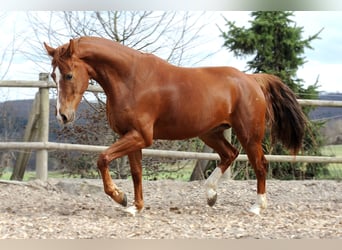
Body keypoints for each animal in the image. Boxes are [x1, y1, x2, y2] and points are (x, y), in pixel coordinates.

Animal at [43, 36, 308, 216]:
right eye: (53, 76)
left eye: (68, 75)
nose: (63, 116)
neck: (130, 79)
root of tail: (251, 80)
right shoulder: (132, 136)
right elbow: (136, 172)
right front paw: (136, 207)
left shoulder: (140, 136)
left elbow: (103, 158)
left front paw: (121, 198)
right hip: (210, 133)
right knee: (229, 154)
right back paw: (211, 195)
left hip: (249, 134)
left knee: (260, 164)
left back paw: (257, 206)